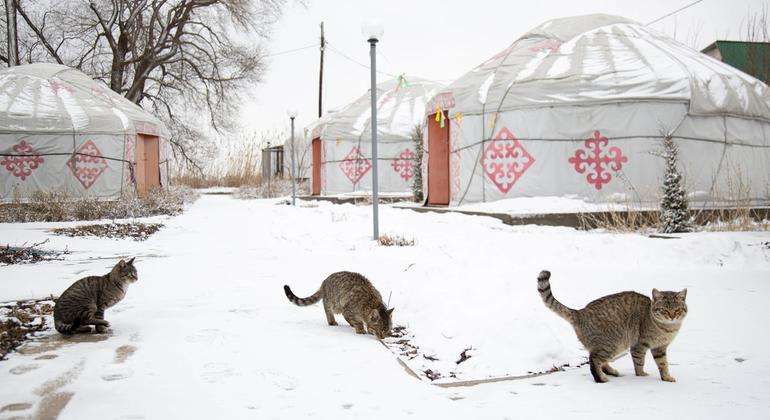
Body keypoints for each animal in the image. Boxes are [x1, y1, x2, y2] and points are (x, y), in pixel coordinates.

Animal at [536, 270, 688, 384]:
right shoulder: (640, 345)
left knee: (600, 360)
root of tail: (579, 312)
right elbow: (639, 362)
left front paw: (666, 377)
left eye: (677, 310)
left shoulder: (660, 348)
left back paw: (611, 371)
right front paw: (641, 375)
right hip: (613, 343)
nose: (672, 316)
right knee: (594, 359)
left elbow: (663, 364)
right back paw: (601, 378)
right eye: (664, 310)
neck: (667, 329)